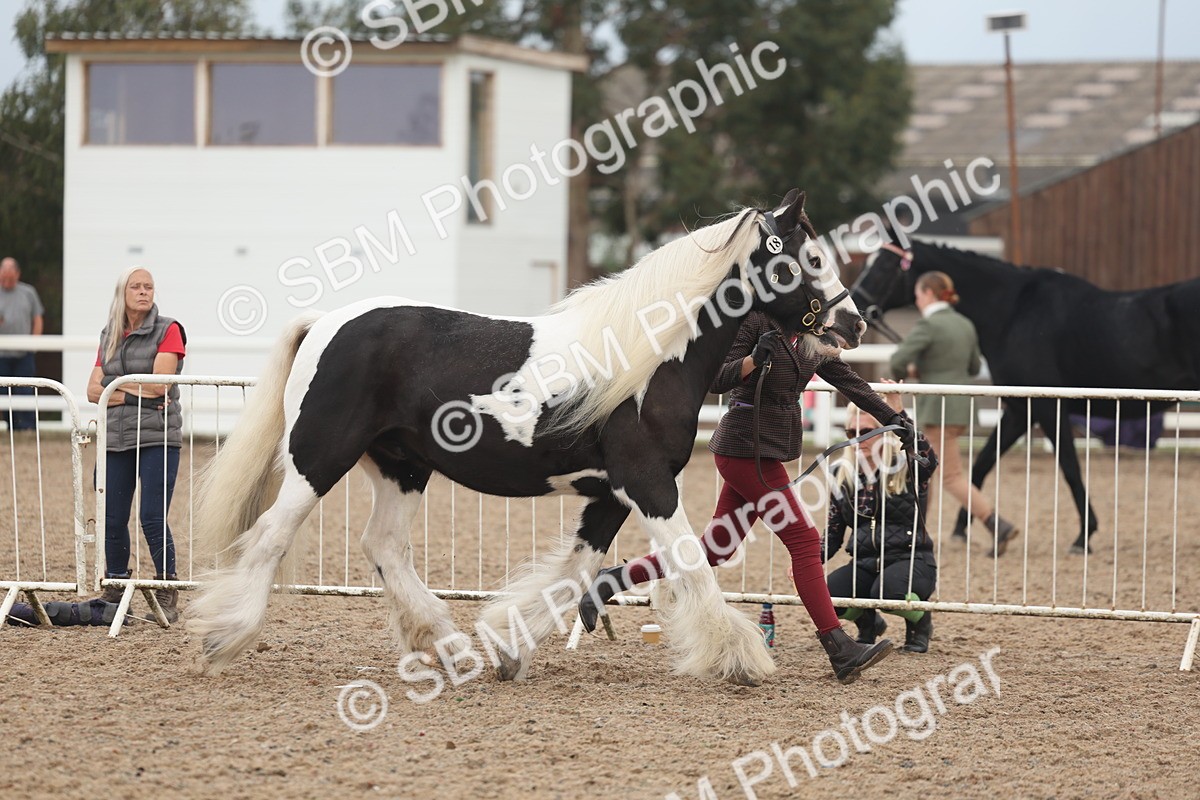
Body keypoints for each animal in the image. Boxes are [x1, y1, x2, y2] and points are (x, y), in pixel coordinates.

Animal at [186, 189, 868, 686]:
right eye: (809, 258)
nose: (853, 322)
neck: (648, 363)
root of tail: (326, 322)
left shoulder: (609, 494)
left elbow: (576, 570)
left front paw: (508, 647)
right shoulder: (647, 484)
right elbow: (691, 563)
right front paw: (741, 656)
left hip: (403, 466)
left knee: (383, 547)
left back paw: (450, 647)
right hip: (320, 457)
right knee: (271, 536)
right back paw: (225, 638)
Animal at [852, 239, 1200, 552]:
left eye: (882, 267)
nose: (855, 306)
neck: (1014, 312)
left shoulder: (1048, 407)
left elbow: (1070, 468)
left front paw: (1083, 536)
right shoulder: (1020, 411)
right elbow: (982, 464)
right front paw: (966, 530)